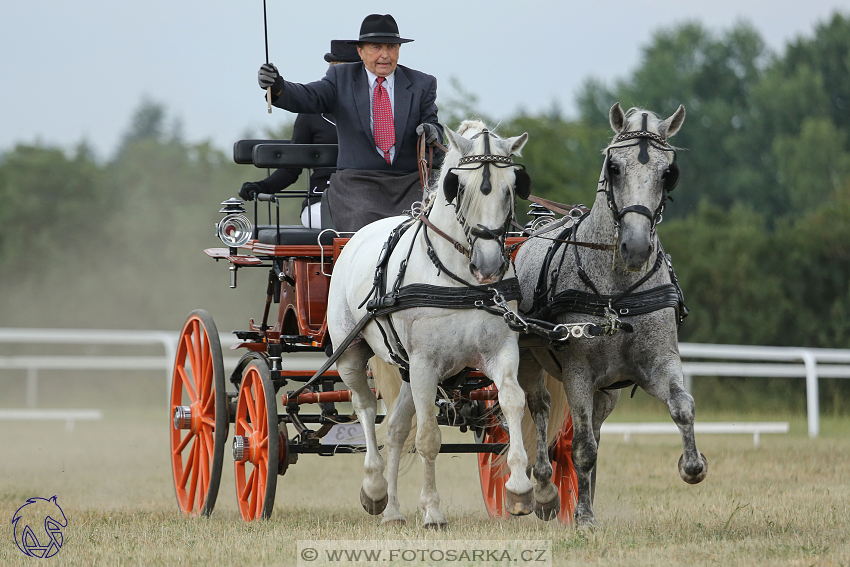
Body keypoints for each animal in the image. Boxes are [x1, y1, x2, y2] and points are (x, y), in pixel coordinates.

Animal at [328, 121, 532, 528]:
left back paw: (392, 510)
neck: (461, 281)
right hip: (351, 355)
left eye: (511, 187)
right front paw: (433, 511)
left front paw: (519, 487)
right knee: (365, 407)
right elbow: (428, 438)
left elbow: (512, 402)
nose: (489, 265)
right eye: (460, 187)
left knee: (394, 429)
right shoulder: (425, 364)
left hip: (406, 369)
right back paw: (374, 488)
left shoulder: (500, 351)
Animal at [512, 103, 704, 528]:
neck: (618, 292)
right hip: (529, 361)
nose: (636, 246)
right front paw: (583, 518)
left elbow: (683, 406)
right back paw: (544, 490)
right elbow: (582, 447)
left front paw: (692, 465)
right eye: (614, 166)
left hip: (608, 390)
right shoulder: (578, 372)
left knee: (592, 427)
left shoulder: (658, 363)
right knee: (539, 408)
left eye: (669, 172)